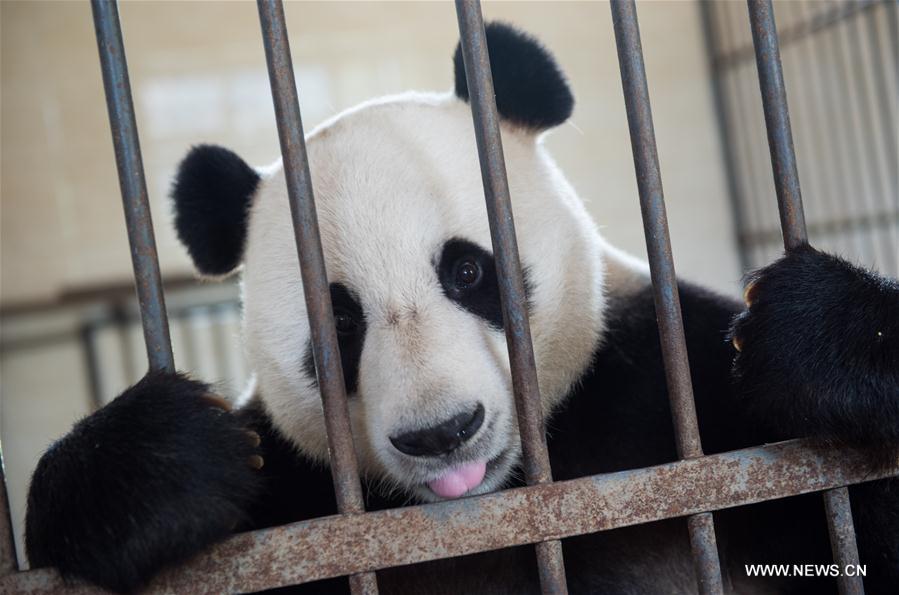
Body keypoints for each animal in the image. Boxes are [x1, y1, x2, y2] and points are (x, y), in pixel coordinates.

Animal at [24, 22, 898, 595]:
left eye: (467, 270)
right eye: (340, 321)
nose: (442, 433)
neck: (496, 502)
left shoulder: (672, 396)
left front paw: (821, 338)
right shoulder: (292, 497)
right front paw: (157, 465)